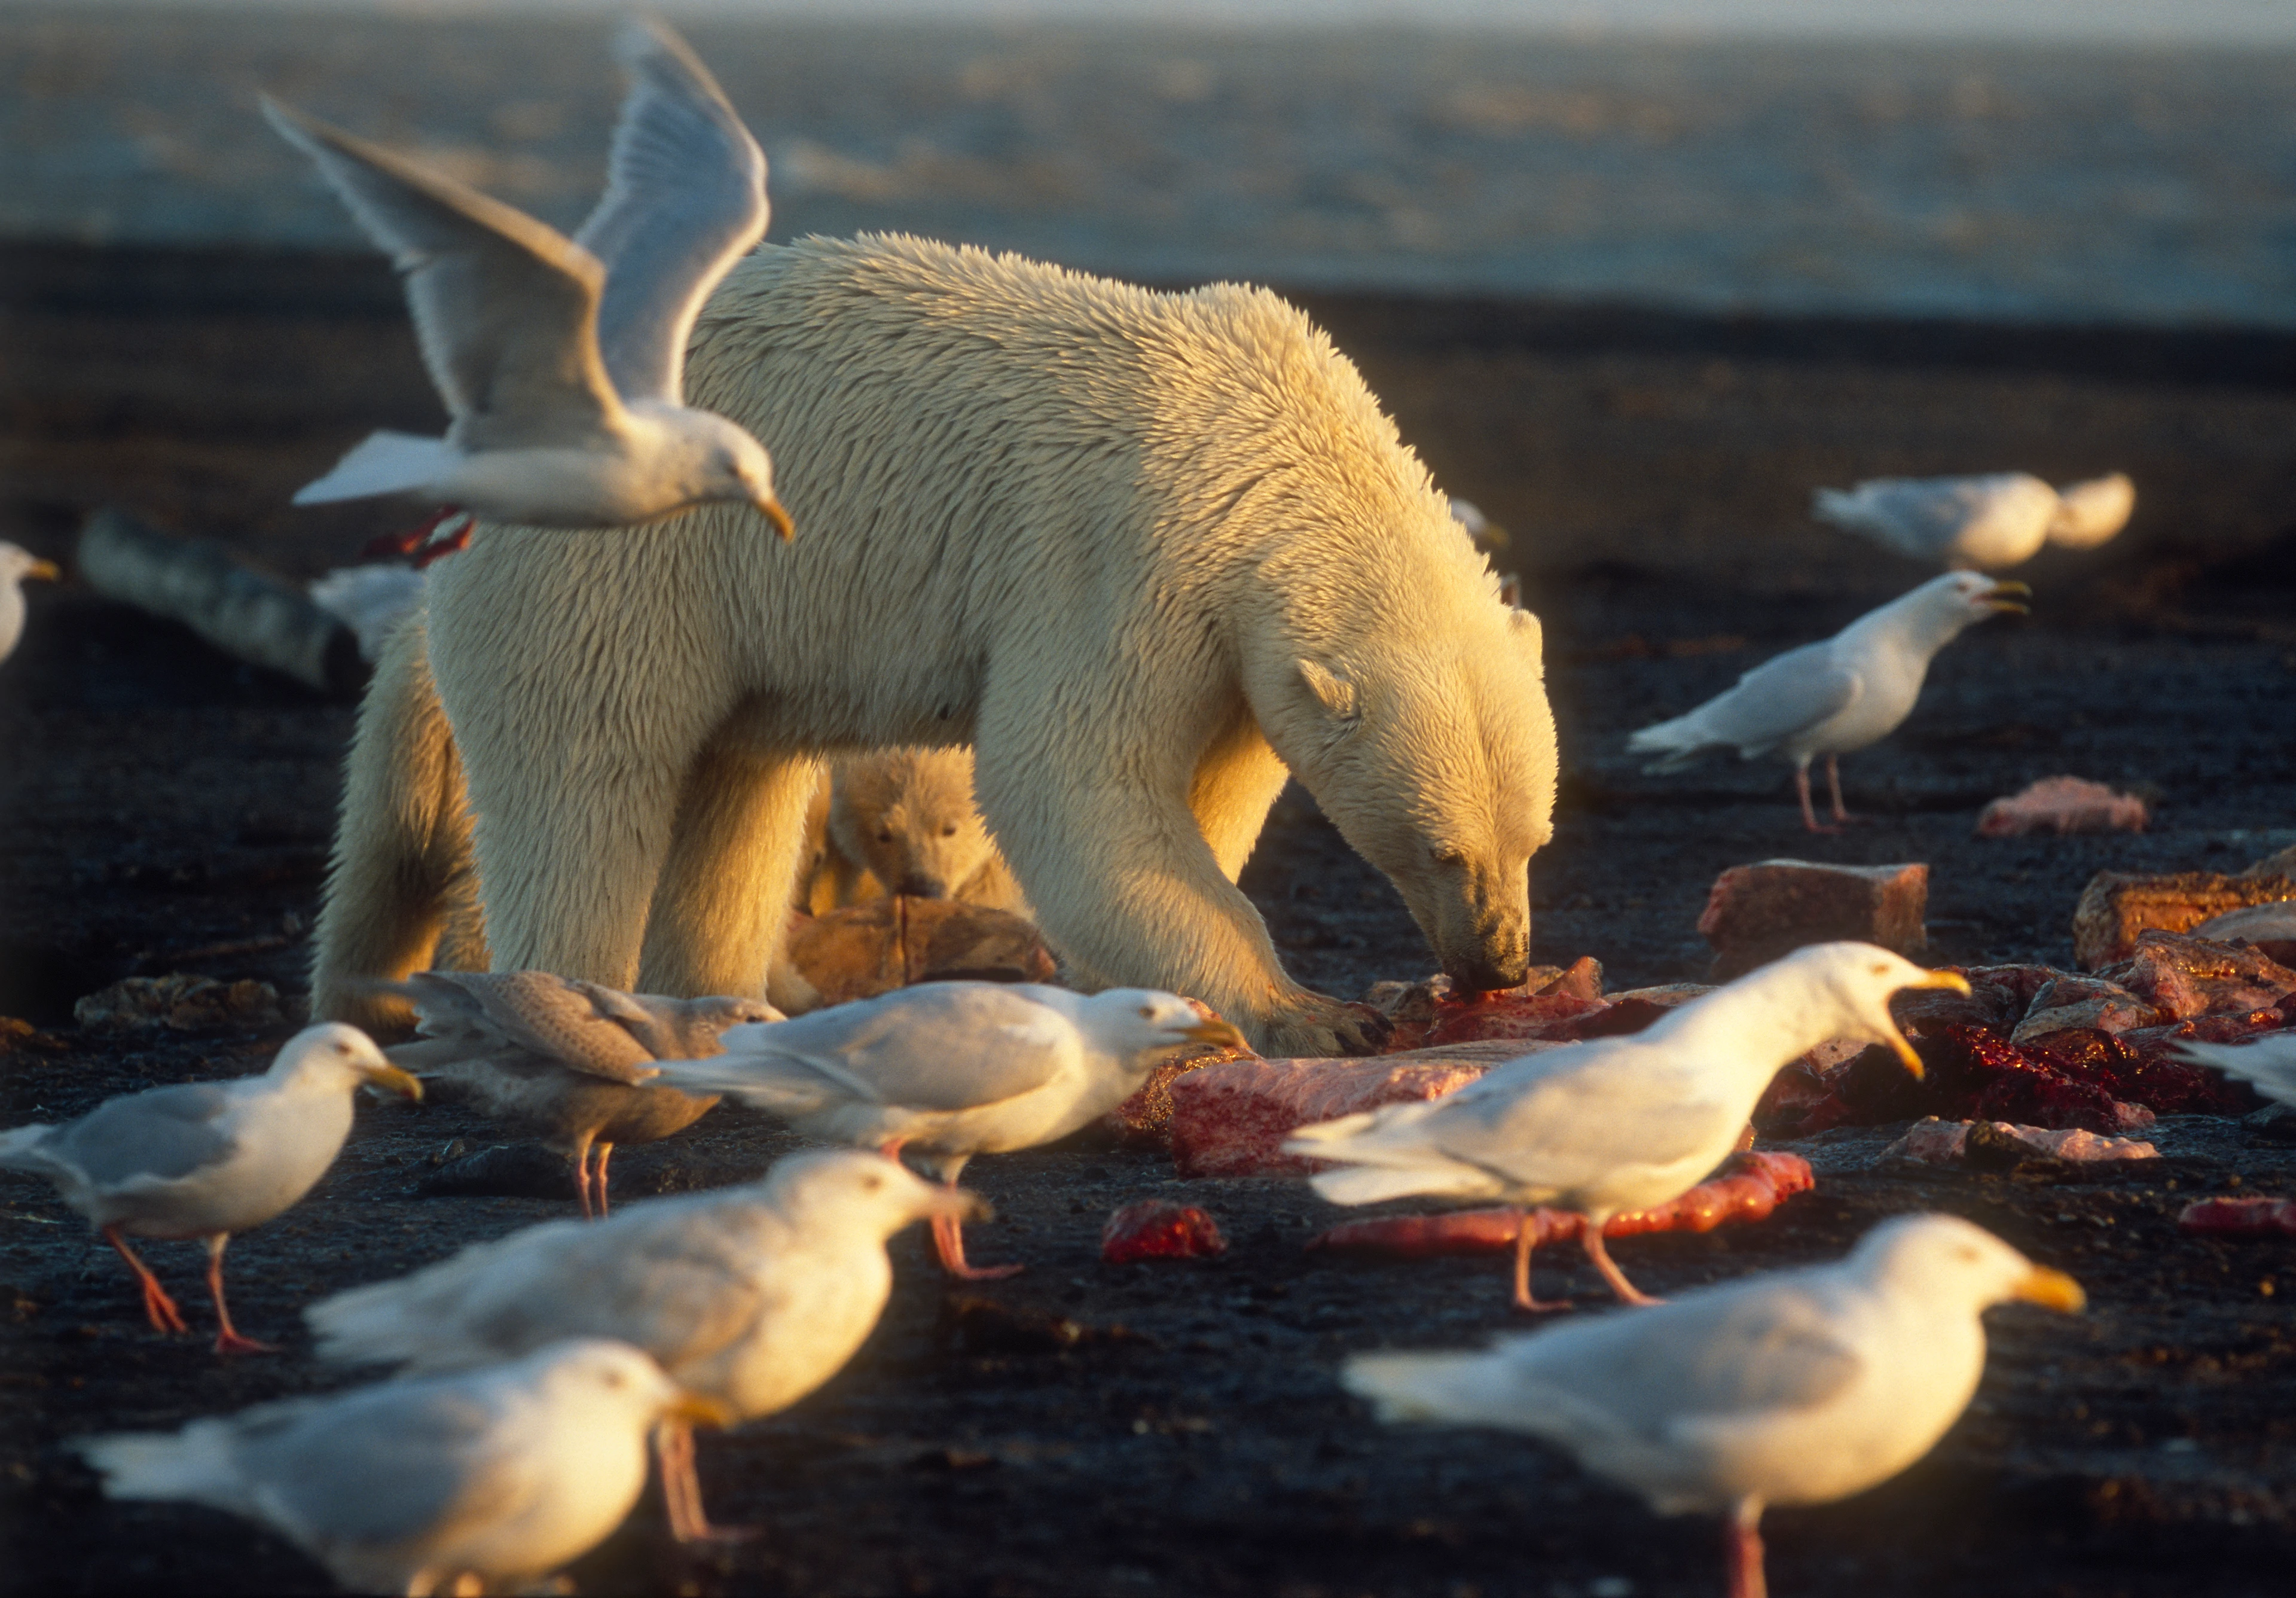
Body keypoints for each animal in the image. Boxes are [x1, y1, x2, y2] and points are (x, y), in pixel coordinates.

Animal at [310, 233, 1557, 1057]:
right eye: (1443, 848)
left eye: (1534, 835)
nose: (1498, 963)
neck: (1262, 449)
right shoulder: (1125, 556)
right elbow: (1071, 773)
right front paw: (1316, 1014)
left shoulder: (1228, 637)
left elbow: (1209, 788)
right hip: (617, 567)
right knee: (585, 775)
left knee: (736, 788)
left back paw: (714, 1006)